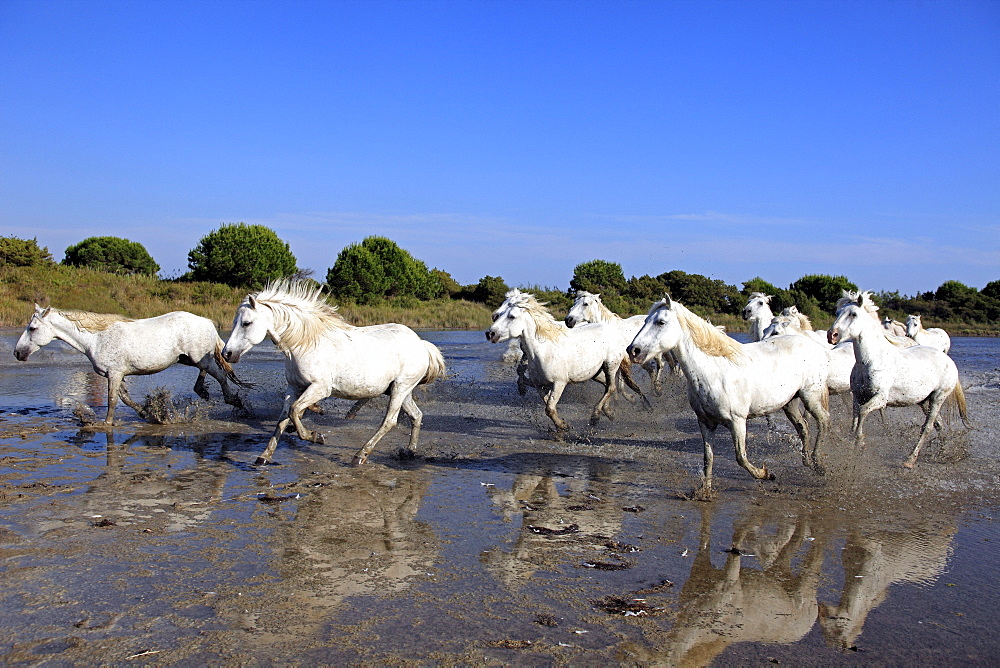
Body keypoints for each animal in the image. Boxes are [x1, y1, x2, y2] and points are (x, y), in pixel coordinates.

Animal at [14, 304, 248, 422]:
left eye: (32, 328)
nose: (17, 353)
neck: (97, 338)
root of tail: (206, 322)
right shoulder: (116, 375)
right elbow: (125, 399)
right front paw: (147, 414)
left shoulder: (115, 374)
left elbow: (112, 401)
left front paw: (107, 425)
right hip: (189, 359)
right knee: (207, 371)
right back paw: (202, 391)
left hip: (198, 358)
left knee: (220, 375)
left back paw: (233, 401)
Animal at [227, 280, 450, 468]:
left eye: (246, 323)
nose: (227, 353)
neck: (305, 344)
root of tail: (421, 344)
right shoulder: (294, 387)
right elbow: (283, 418)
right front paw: (264, 456)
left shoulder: (320, 388)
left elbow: (294, 411)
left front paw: (315, 436)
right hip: (401, 390)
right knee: (416, 416)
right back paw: (409, 452)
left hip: (400, 389)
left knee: (389, 421)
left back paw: (360, 455)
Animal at [488, 290, 636, 430]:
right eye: (501, 314)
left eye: (512, 316)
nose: (490, 333)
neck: (544, 351)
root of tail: (614, 330)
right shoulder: (539, 384)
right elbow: (548, 404)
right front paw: (562, 424)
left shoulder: (559, 383)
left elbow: (549, 408)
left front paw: (563, 427)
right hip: (595, 372)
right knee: (607, 386)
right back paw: (609, 412)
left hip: (611, 365)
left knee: (611, 387)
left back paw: (595, 416)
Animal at [632, 298, 828, 496]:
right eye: (645, 321)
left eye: (660, 322)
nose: (633, 350)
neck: (714, 372)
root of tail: (811, 344)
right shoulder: (705, 422)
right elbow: (708, 457)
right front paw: (705, 492)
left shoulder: (737, 421)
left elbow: (740, 457)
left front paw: (766, 474)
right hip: (790, 403)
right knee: (803, 427)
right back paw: (808, 462)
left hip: (810, 396)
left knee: (823, 420)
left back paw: (819, 464)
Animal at [828, 294, 968, 468]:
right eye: (837, 312)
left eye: (853, 314)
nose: (831, 335)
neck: (870, 360)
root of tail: (948, 360)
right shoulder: (858, 396)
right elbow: (854, 417)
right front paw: (852, 442)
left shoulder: (881, 398)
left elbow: (863, 412)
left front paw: (860, 443)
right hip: (924, 401)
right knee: (938, 424)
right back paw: (943, 453)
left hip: (938, 397)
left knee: (927, 427)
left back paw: (910, 460)